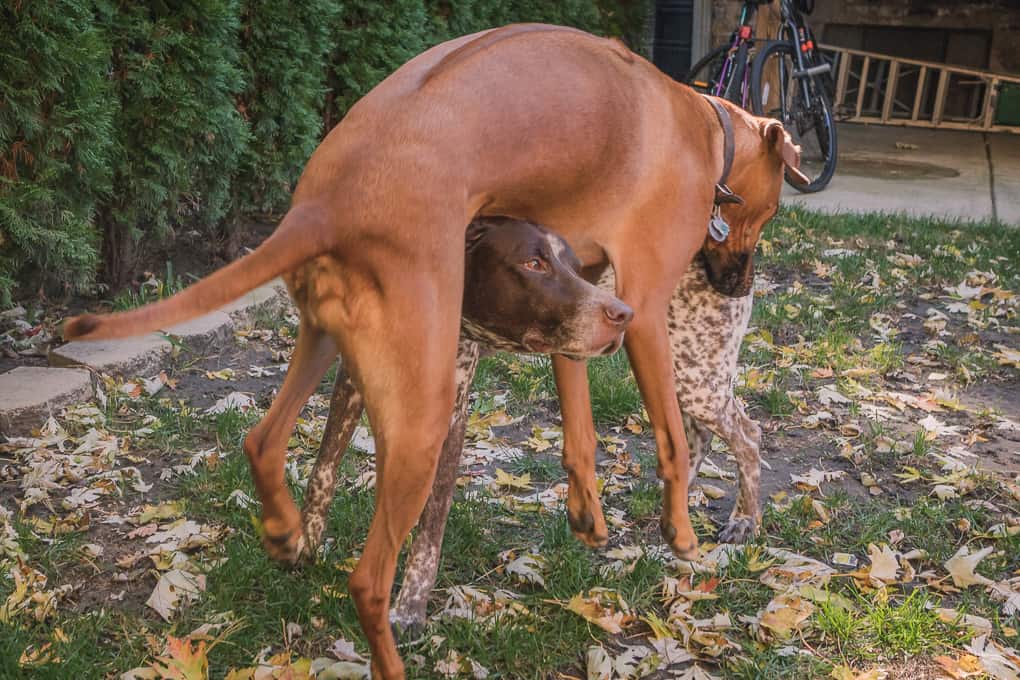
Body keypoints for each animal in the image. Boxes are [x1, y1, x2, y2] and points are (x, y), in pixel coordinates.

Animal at [65, 23, 803, 676]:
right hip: (434, 409)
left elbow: (580, 428)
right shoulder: (636, 310)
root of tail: (329, 203)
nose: (742, 287)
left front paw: (588, 515)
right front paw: (678, 531)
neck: (701, 124)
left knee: (265, 441)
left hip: (333, 347)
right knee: (368, 579)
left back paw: (284, 534)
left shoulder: (582, 304)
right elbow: (668, 442)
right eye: (768, 212)